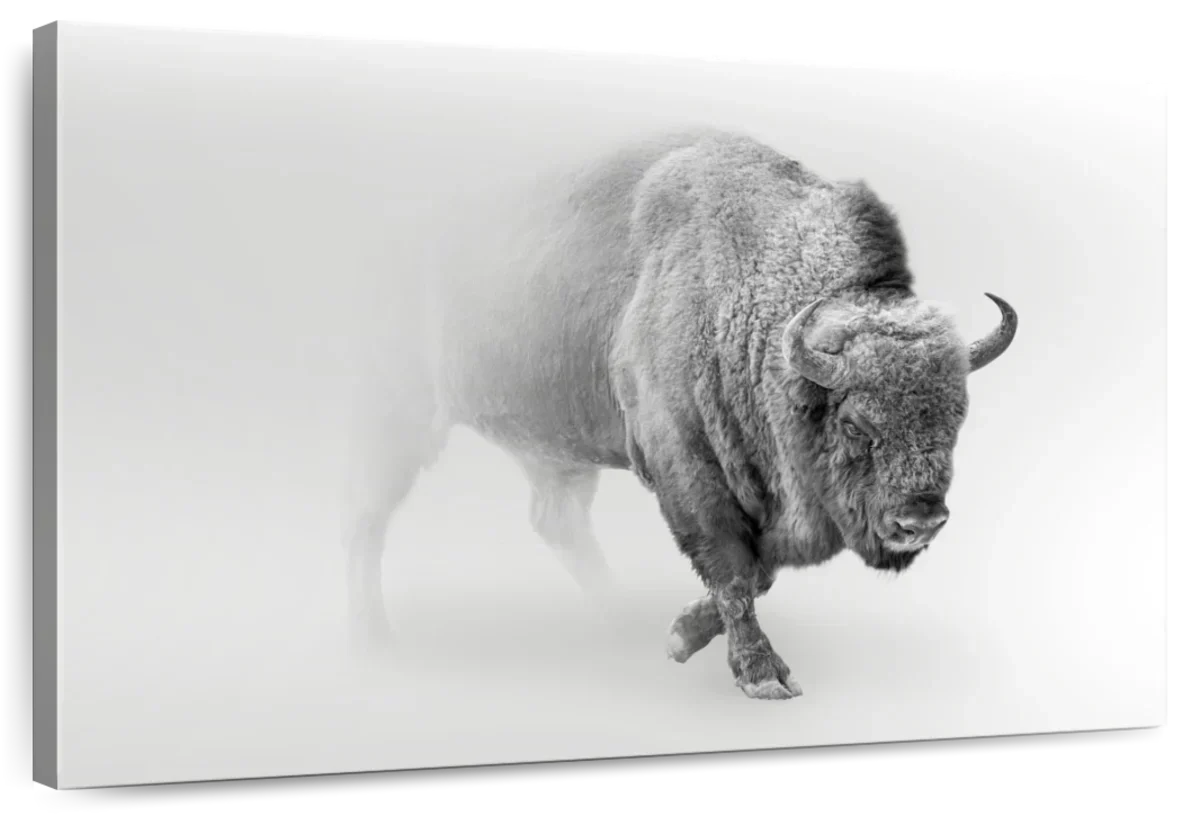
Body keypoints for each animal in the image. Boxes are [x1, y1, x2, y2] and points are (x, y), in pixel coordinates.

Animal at [343, 129, 1017, 700]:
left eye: (955, 419)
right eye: (855, 423)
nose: (919, 520)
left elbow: (759, 570)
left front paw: (679, 636)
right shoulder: (686, 468)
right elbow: (734, 570)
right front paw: (762, 676)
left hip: (550, 450)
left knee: (555, 520)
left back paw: (620, 621)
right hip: (399, 416)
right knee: (367, 517)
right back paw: (373, 640)